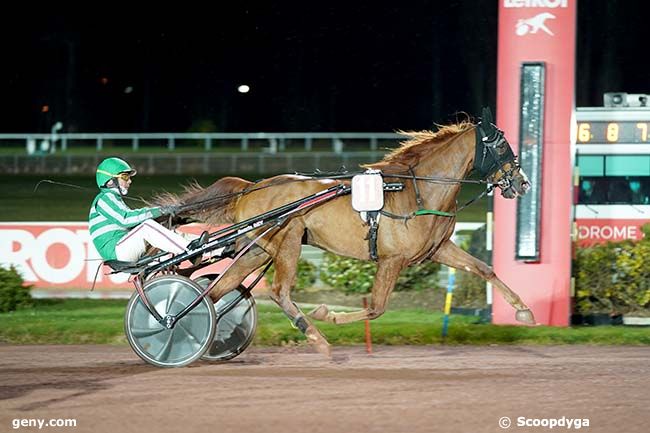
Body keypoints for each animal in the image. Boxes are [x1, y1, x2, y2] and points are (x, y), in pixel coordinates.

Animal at [161, 108, 532, 354]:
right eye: (501, 145)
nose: (523, 183)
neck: (416, 191)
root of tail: (250, 187)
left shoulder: (438, 248)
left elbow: (484, 268)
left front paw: (524, 311)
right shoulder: (392, 259)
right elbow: (377, 307)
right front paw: (329, 315)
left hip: (257, 248)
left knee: (217, 290)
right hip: (288, 240)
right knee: (278, 291)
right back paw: (315, 336)